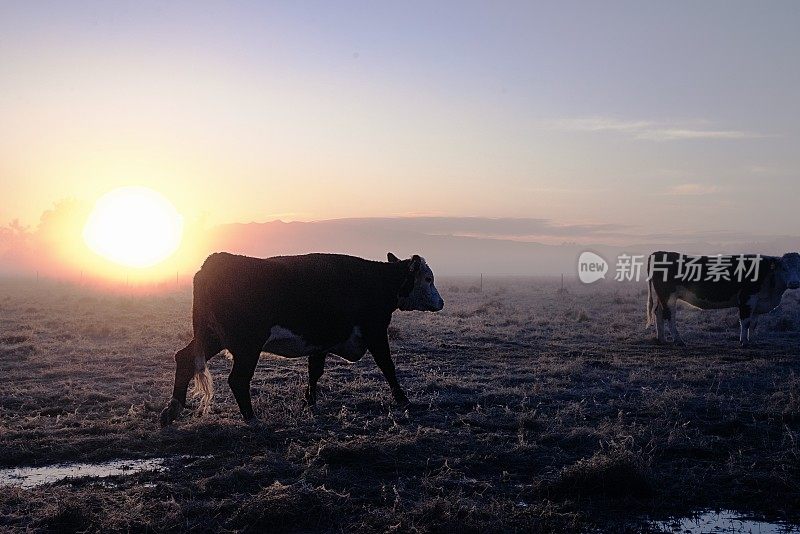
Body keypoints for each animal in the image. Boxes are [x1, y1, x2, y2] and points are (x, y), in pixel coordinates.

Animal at [156, 253, 444, 430]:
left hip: (213, 337)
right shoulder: (375, 332)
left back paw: (171, 412)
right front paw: (403, 399)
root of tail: (213, 262)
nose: (441, 302)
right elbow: (388, 366)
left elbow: (315, 371)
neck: (378, 280)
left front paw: (310, 402)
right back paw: (252, 418)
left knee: (184, 358)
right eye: (428, 279)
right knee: (237, 379)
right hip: (247, 344)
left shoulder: (321, 341)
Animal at [648, 251, 796, 348]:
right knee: (669, 316)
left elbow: (753, 324)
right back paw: (678, 340)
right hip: (668, 296)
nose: (795, 283)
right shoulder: (747, 300)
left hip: (663, 297)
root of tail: (659, 253)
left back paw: (662, 339)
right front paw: (744, 342)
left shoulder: (757, 304)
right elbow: (745, 322)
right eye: (784, 268)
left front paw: (752, 340)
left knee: (659, 312)